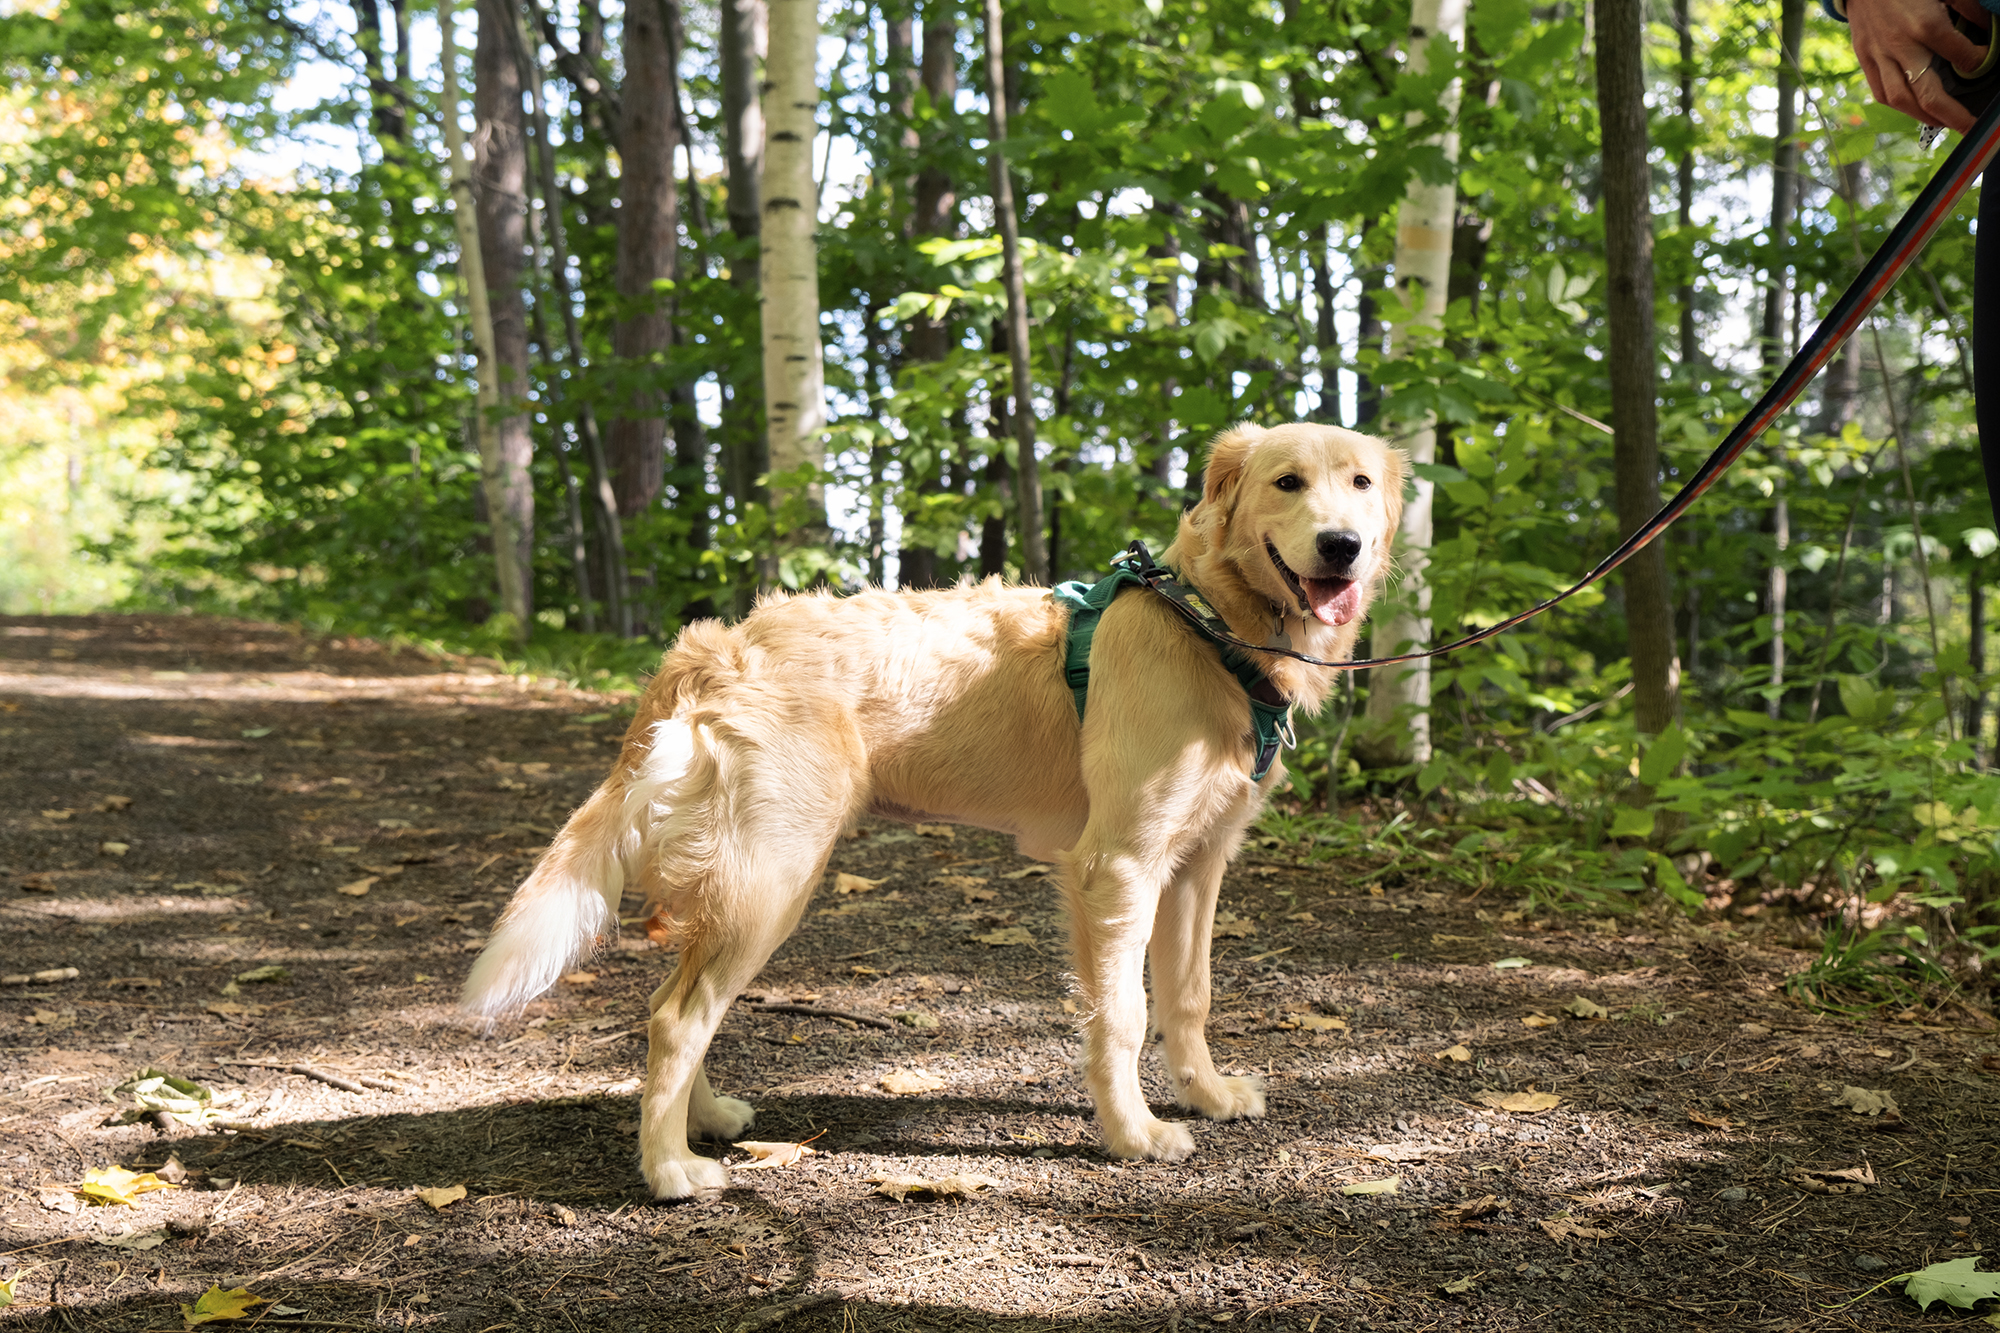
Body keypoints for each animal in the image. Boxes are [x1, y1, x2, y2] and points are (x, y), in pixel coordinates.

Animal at [466, 422, 1408, 1192]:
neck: (1206, 623)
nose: (1343, 546)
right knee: (676, 1016)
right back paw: (669, 1168)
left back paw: (706, 1120)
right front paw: (1135, 1134)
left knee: (673, 1000)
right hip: (771, 882)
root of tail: (715, 644)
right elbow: (1124, 1015)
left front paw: (1206, 1094)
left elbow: (1188, 996)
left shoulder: (1197, 866)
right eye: (1288, 481)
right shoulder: (1119, 869)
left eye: (1360, 482)